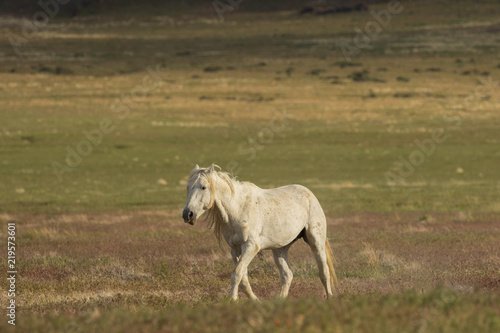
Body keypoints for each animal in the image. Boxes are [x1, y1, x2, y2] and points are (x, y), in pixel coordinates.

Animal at [182, 163, 338, 300]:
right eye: (188, 187)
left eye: (203, 187)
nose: (187, 214)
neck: (238, 207)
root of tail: (309, 193)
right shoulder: (235, 249)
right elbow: (243, 279)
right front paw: (254, 301)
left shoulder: (251, 247)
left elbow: (236, 275)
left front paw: (233, 300)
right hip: (280, 250)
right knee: (287, 275)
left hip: (316, 242)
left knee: (324, 272)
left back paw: (329, 298)